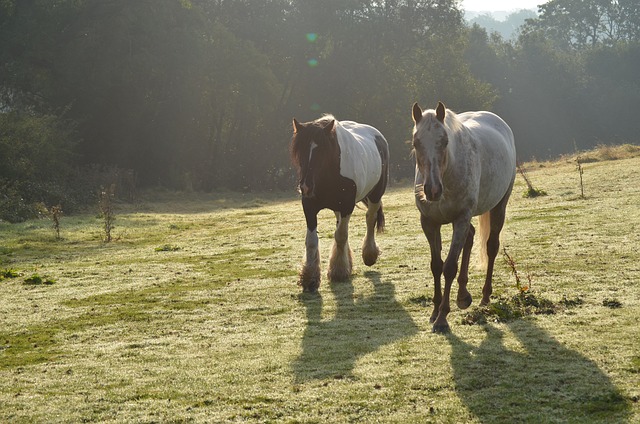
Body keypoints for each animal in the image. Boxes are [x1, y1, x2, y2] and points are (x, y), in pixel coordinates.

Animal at [292, 115, 390, 292]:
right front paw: (310, 277)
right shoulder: (309, 207)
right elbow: (312, 241)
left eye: (322, 152)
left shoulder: (346, 206)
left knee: (370, 219)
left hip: (375, 196)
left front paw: (338, 270)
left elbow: (341, 235)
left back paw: (369, 254)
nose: (306, 186)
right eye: (300, 151)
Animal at [412, 101, 516, 332]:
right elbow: (436, 265)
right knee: (470, 238)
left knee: (491, 247)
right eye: (416, 143)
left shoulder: (460, 218)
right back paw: (462, 296)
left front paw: (442, 318)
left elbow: (449, 267)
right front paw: (435, 311)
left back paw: (484, 297)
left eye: (444, 141)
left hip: (499, 207)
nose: (432, 190)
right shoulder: (429, 223)